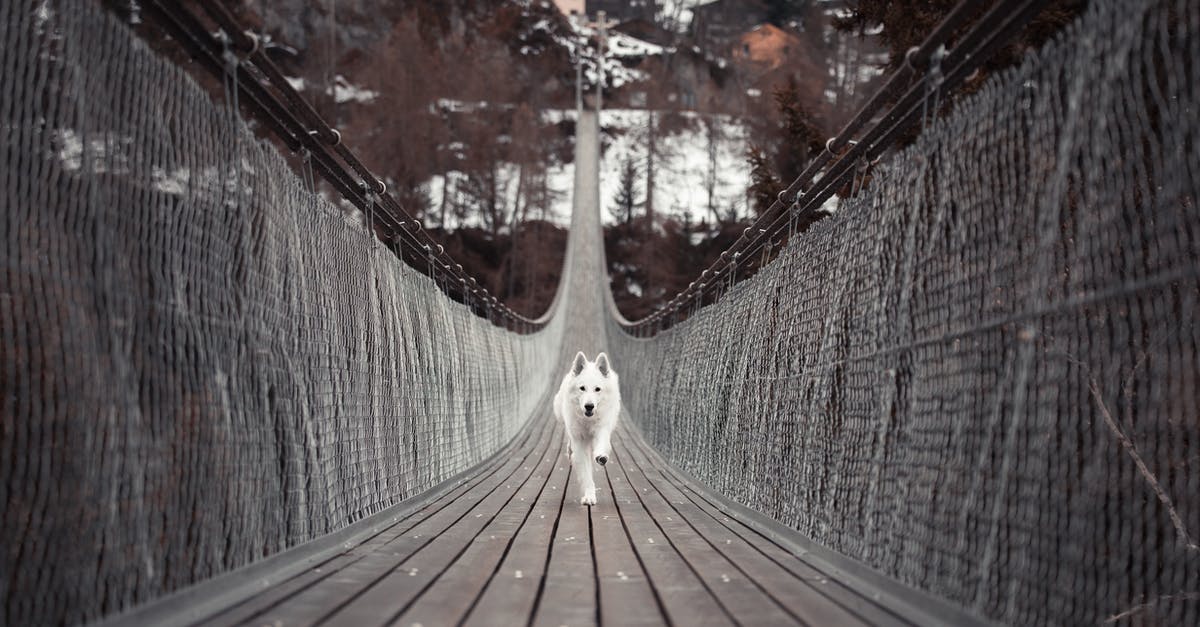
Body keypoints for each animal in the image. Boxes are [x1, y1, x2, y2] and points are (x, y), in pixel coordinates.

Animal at [554, 350, 624, 502]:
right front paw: (589, 496)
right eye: (582, 388)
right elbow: (586, 474)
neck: (588, 420)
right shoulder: (579, 441)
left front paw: (601, 456)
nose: (589, 406)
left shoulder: (601, 429)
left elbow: (601, 445)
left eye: (597, 389)